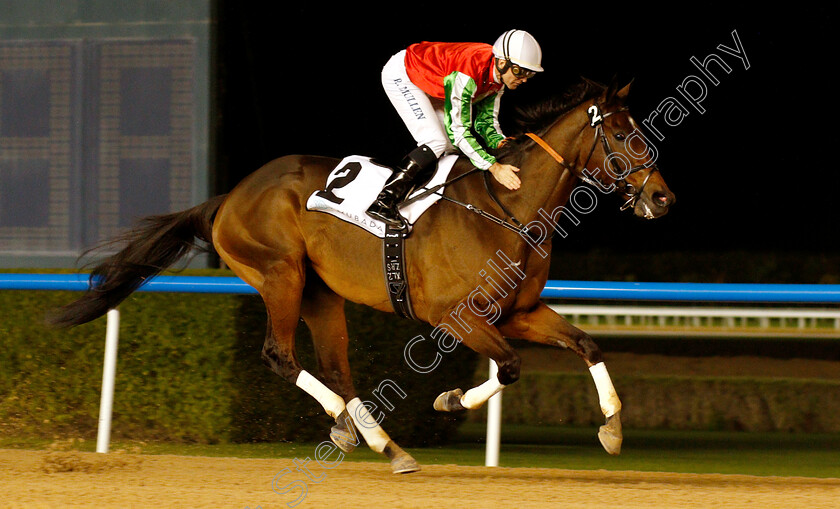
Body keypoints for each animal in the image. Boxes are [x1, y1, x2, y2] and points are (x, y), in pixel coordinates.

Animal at [49, 78, 676, 472]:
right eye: (624, 135)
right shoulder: (457, 317)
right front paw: (450, 401)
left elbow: (586, 343)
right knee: (280, 355)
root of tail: (229, 196)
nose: (663, 198)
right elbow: (511, 367)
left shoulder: (517, 312)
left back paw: (378, 441)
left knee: (336, 365)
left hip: (322, 294)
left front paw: (613, 428)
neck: (508, 208)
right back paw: (354, 429)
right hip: (281, 275)